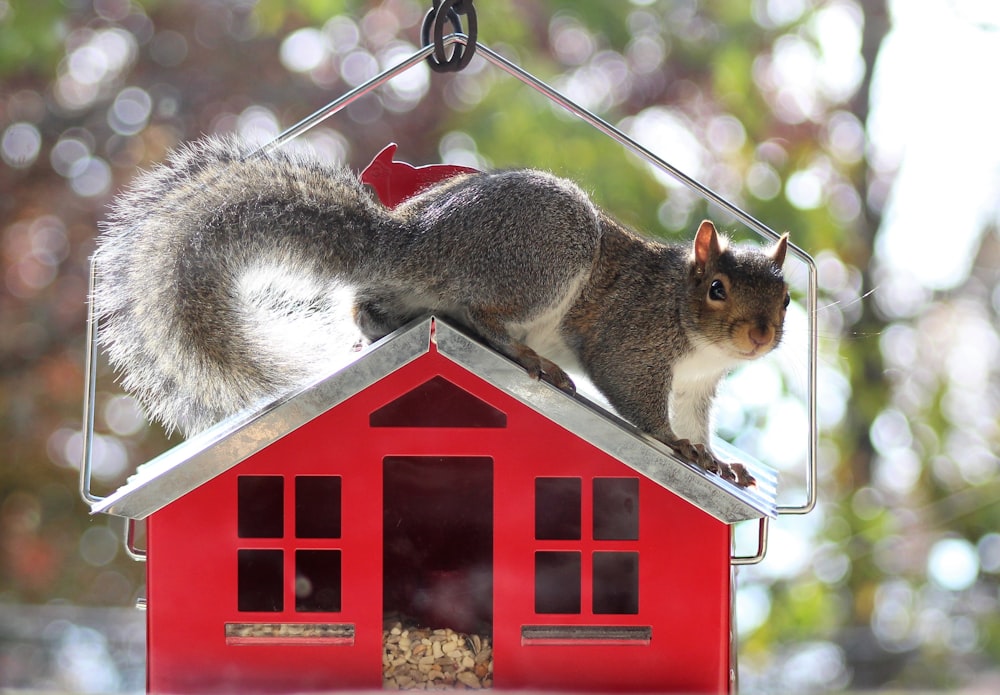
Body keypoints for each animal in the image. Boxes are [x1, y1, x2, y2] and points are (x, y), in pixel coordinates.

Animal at [97, 133, 792, 486]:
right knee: (479, 309)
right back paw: (528, 355)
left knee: (371, 309)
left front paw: (715, 459)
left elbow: (696, 421)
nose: (760, 336)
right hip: (547, 251)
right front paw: (674, 445)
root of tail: (412, 238)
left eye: (787, 298)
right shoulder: (634, 340)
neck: (693, 333)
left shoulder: (697, 387)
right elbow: (638, 397)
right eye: (717, 289)